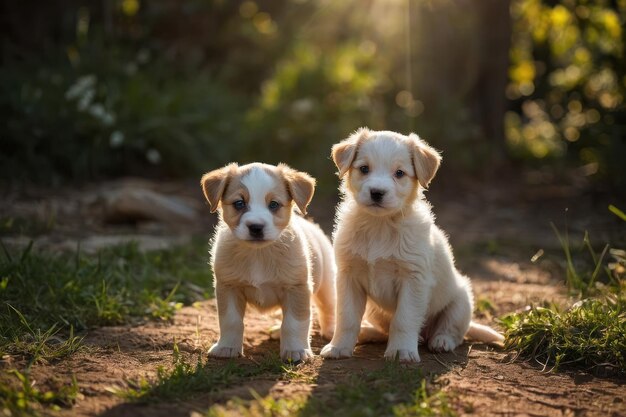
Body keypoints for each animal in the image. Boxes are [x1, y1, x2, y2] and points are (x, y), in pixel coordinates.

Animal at [202, 161, 334, 362]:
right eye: (239, 203)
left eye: (274, 204)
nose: (256, 227)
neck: (259, 254)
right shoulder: (228, 287)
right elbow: (230, 321)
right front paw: (227, 347)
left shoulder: (297, 288)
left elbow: (294, 322)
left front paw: (295, 350)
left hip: (327, 286)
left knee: (329, 308)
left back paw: (332, 332)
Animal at [322, 128, 502, 362]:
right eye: (364, 169)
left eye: (399, 173)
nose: (377, 192)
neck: (379, 225)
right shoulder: (348, 276)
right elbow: (347, 318)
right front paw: (339, 347)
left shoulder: (413, 279)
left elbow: (404, 319)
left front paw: (401, 351)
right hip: (375, 311)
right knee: (384, 331)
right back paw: (369, 333)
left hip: (462, 301)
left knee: (453, 330)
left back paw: (441, 341)